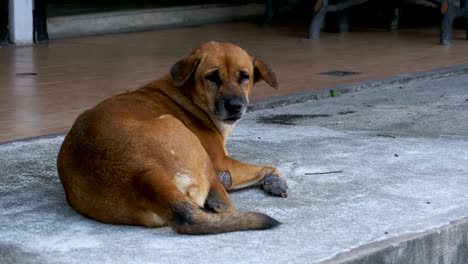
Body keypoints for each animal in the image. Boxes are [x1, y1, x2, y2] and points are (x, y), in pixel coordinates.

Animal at [56, 41, 288, 235]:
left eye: (244, 76)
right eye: (212, 77)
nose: (235, 106)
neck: (189, 96)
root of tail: (143, 174)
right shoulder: (224, 162)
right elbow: (268, 167)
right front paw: (274, 179)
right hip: (187, 139)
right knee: (224, 201)